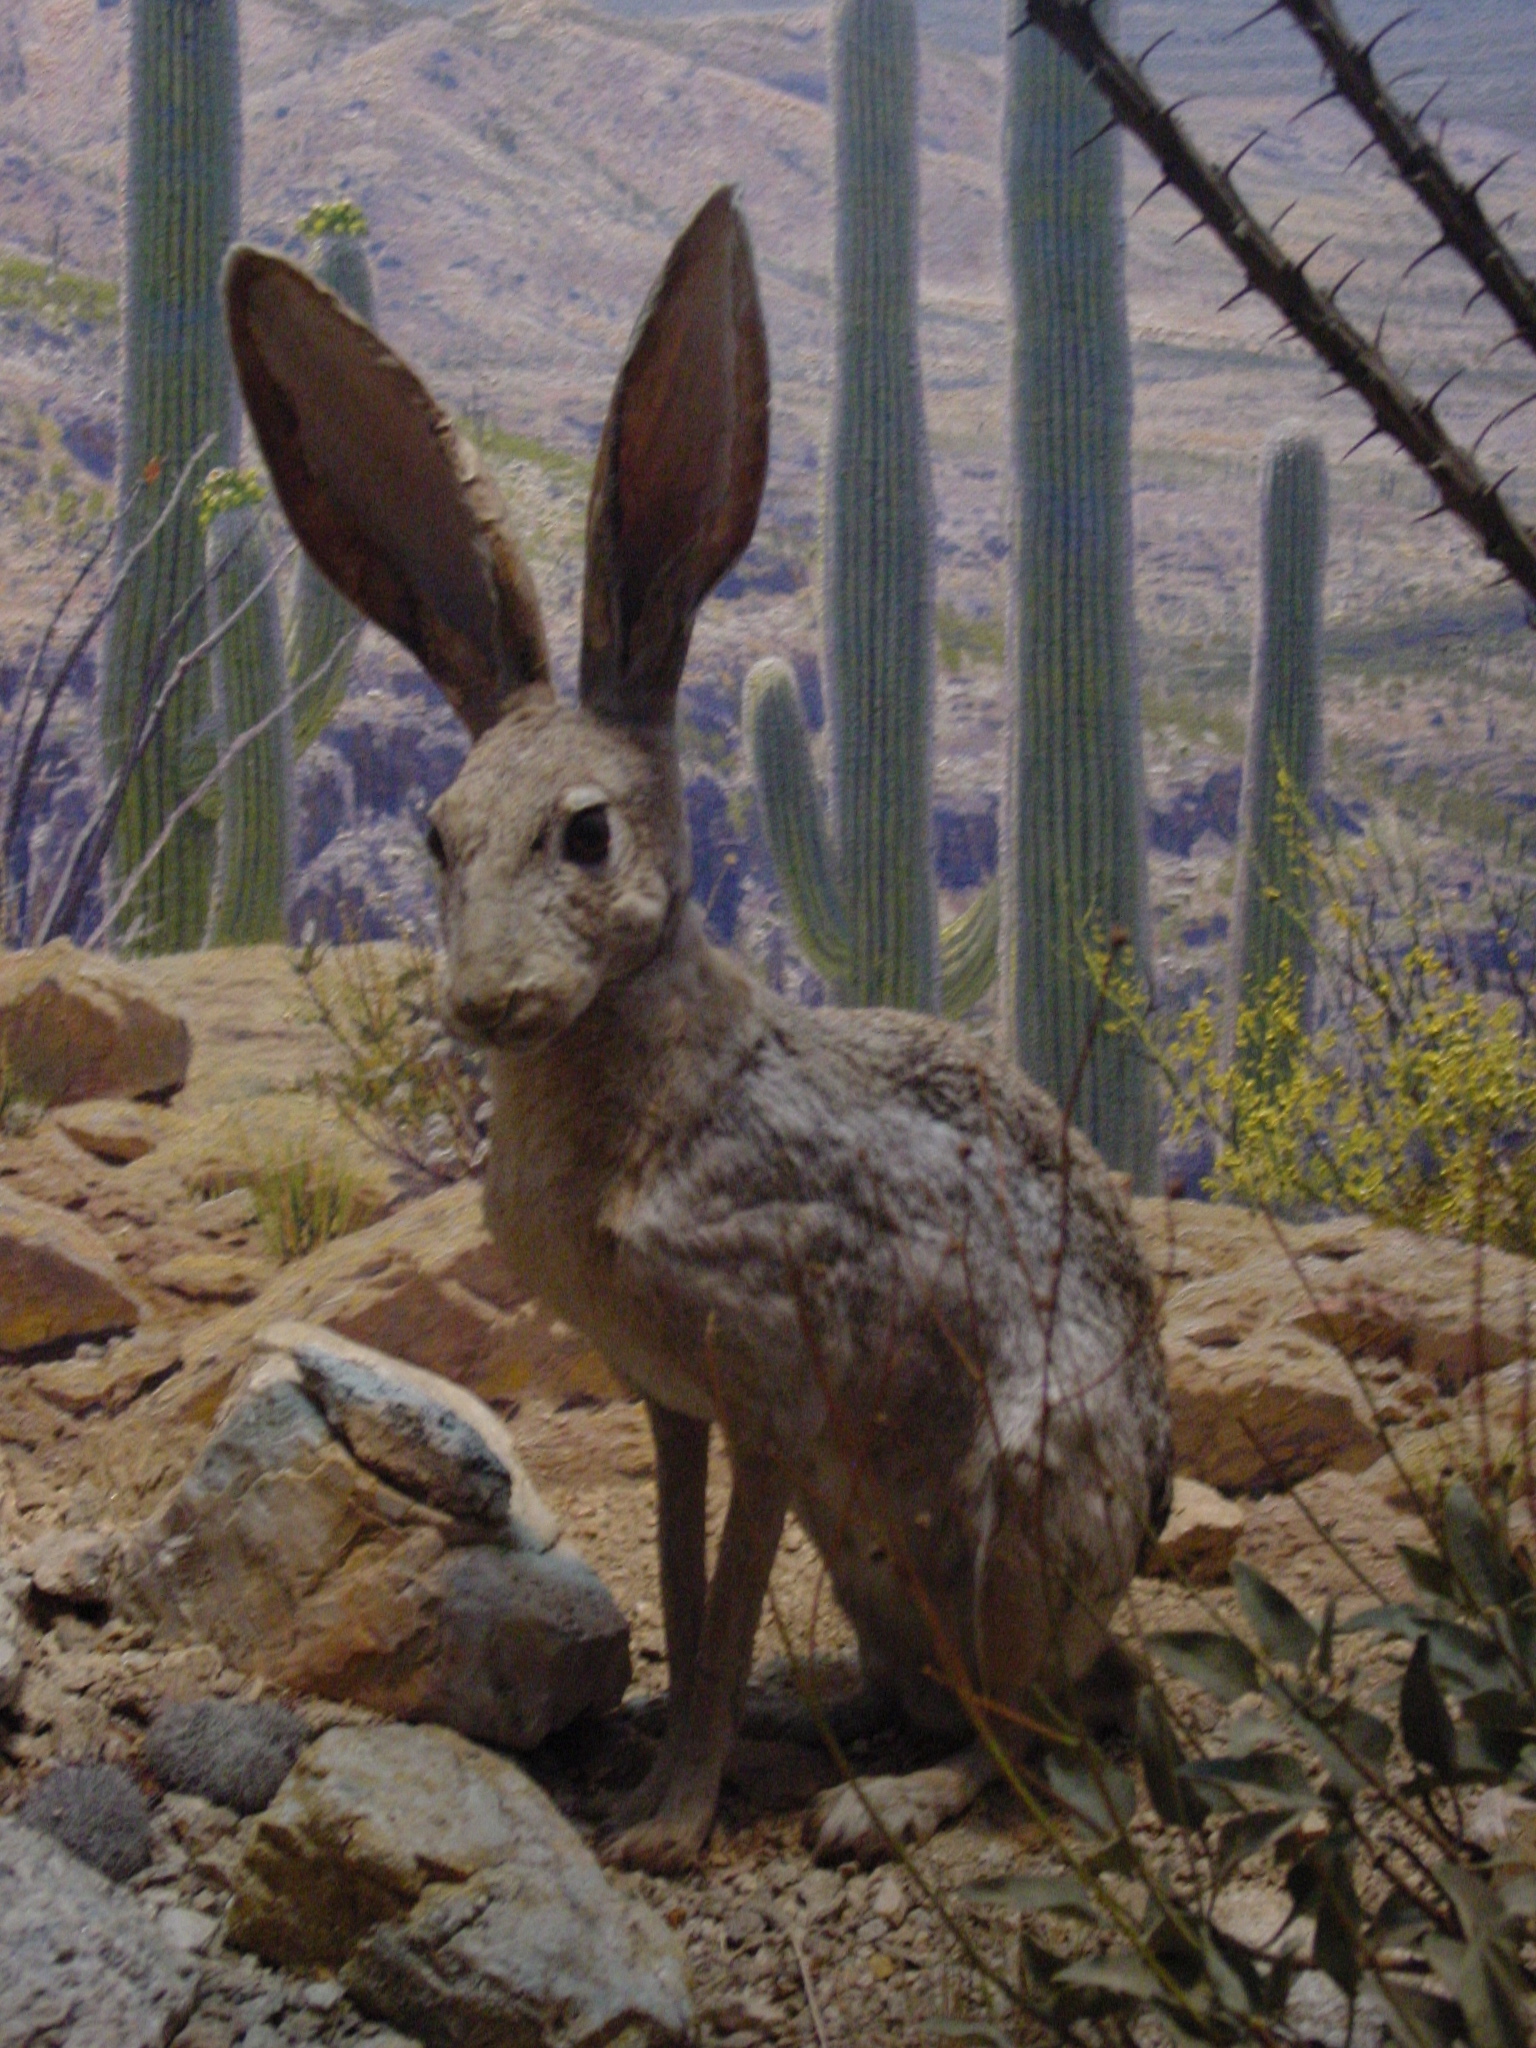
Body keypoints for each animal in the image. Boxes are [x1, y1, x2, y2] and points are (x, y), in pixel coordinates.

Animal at [223, 187, 1173, 1873]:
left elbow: (722, 1605)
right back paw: (837, 1717)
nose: (488, 1000)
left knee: (1036, 1731)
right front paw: (660, 1776)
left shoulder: (775, 1395)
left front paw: (669, 1830)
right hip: (888, 1570)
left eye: (589, 834)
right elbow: (678, 1578)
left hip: (1008, 1529)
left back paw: (879, 1804)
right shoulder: (669, 1399)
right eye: (434, 835)